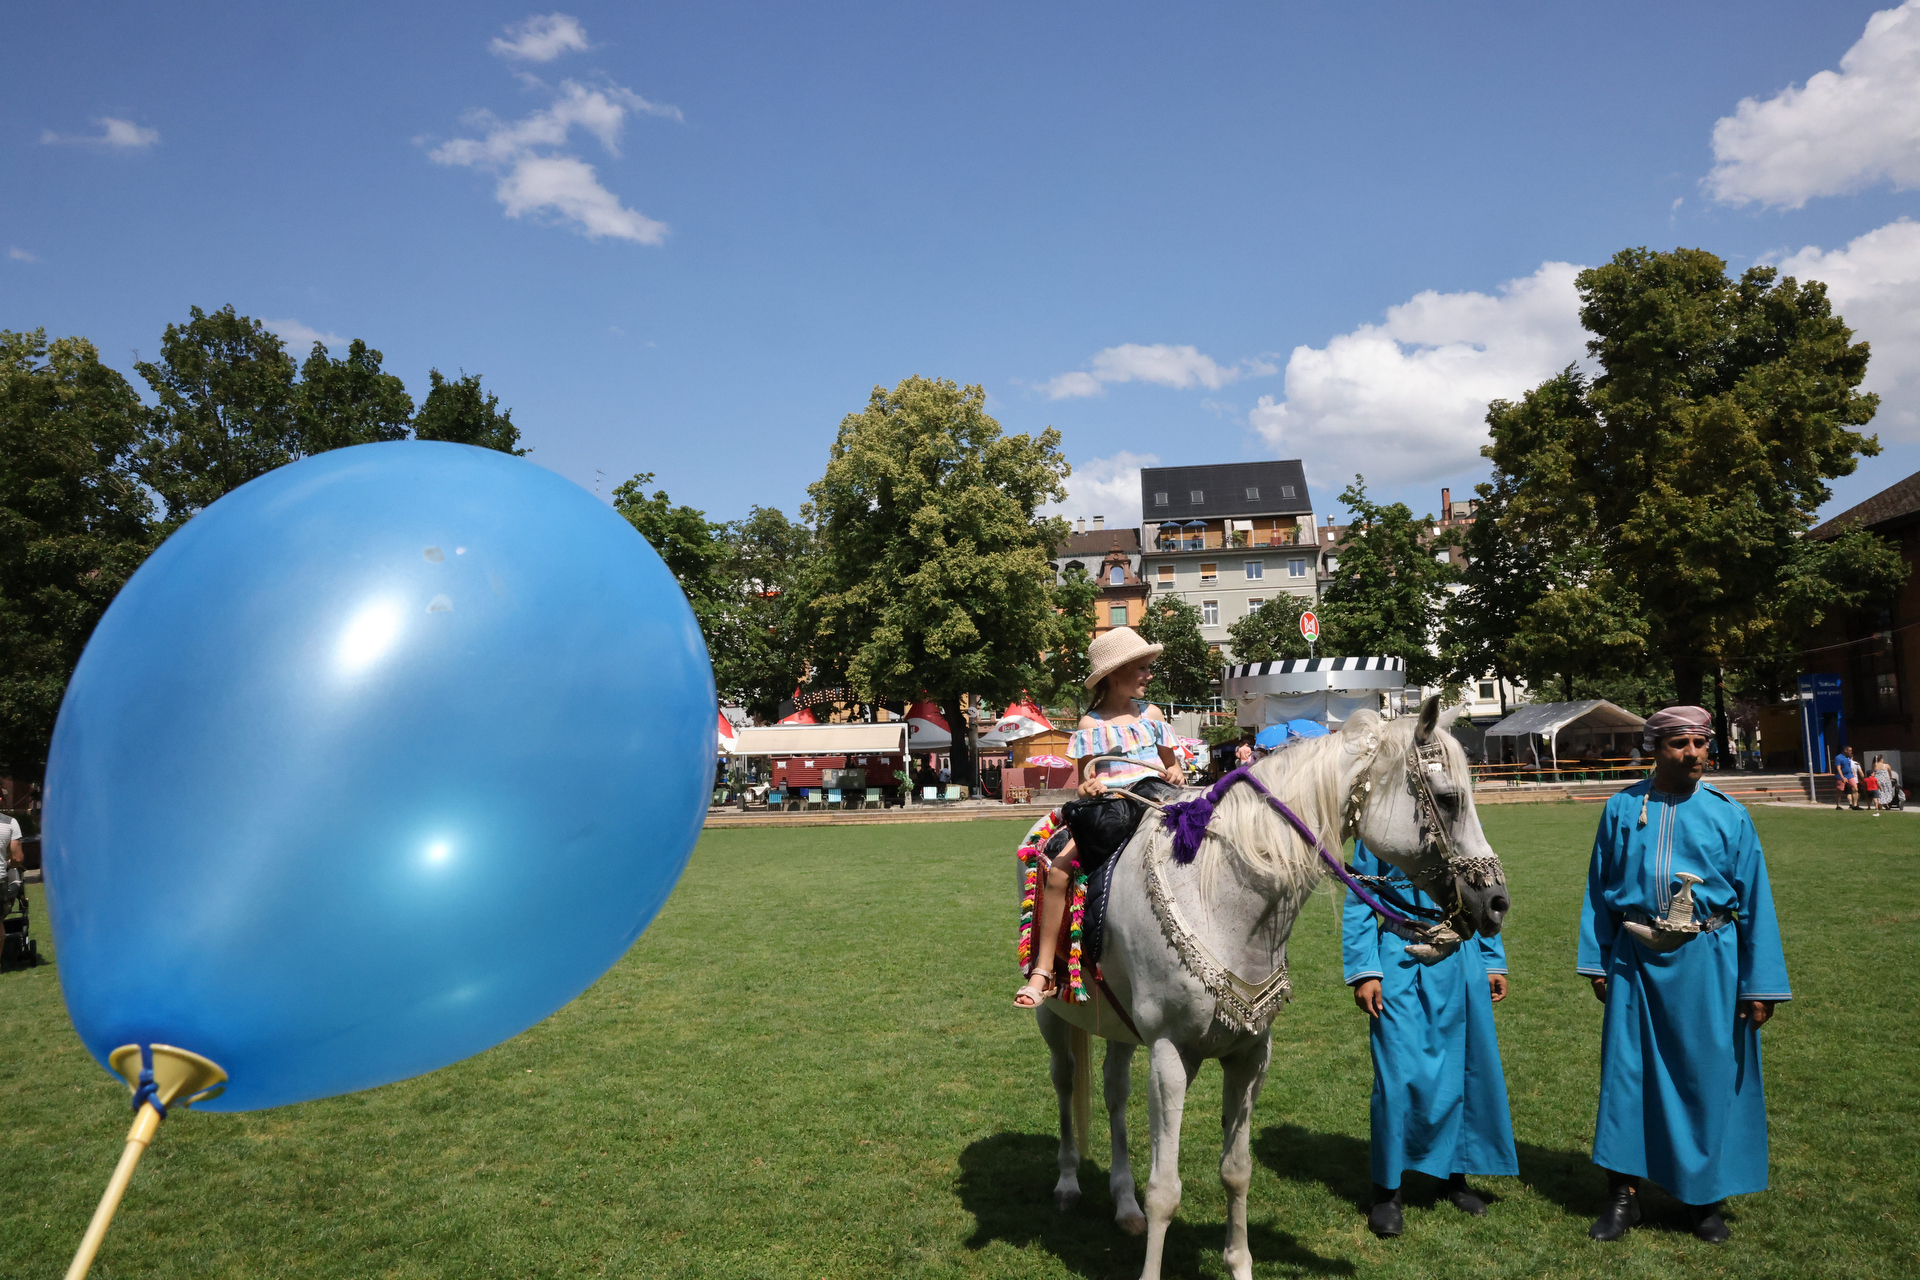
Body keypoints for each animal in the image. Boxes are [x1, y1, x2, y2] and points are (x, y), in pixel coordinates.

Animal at [1036, 702, 1497, 1280]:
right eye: (1449, 798)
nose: (1497, 901)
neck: (1221, 899)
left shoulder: (1251, 1053)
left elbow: (1237, 1171)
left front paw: (1239, 1263)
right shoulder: (1168, 1055)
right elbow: (1165, 1189)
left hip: (1118, 1026)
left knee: (1113, 1093)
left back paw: (1124, 1207)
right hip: (1053, 1019)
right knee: (1064, 1082)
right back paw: (1066, 1184)